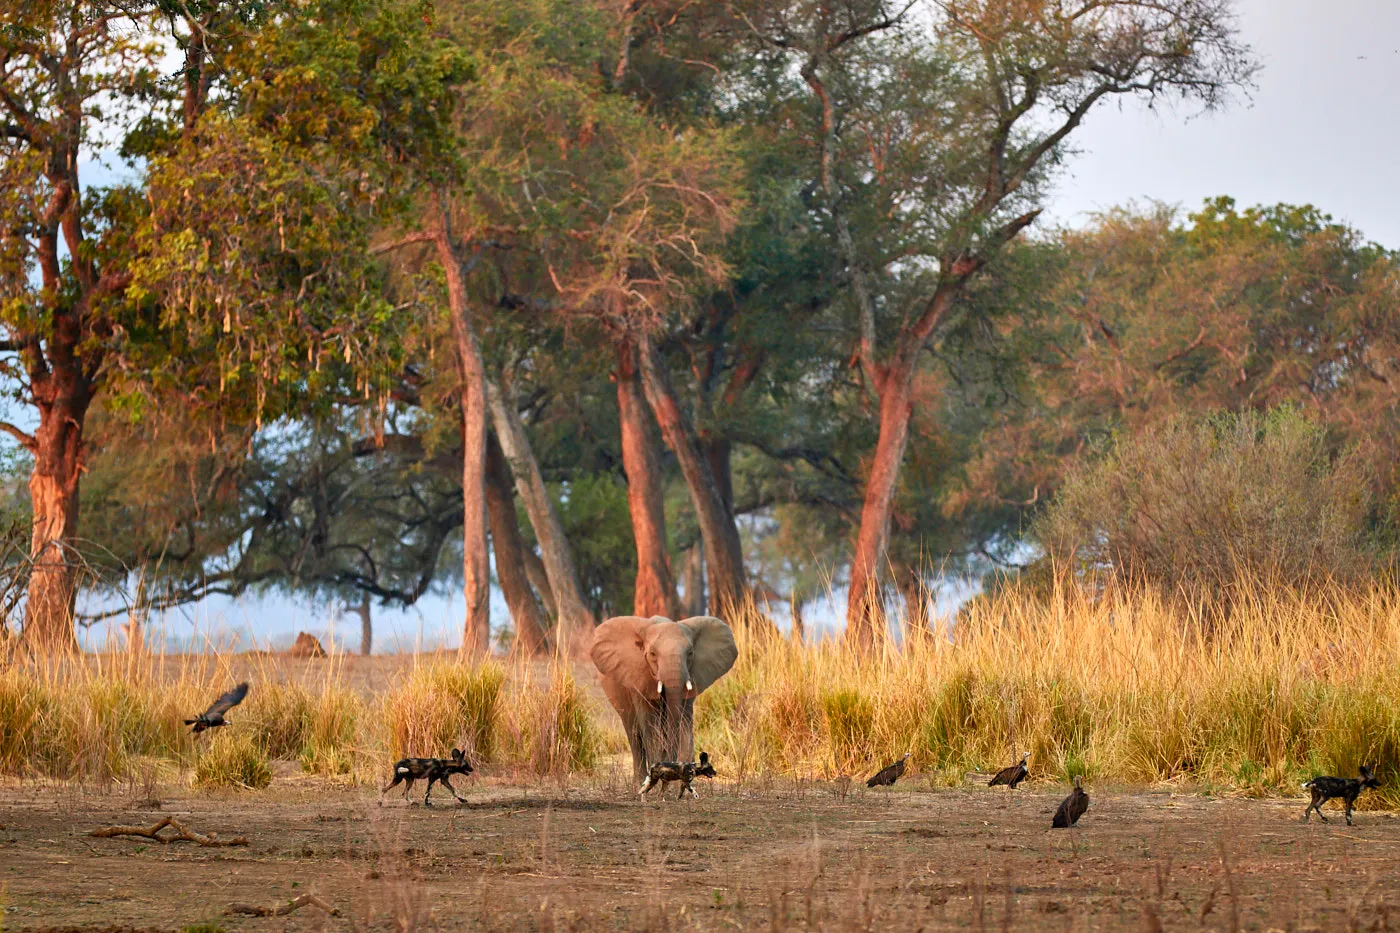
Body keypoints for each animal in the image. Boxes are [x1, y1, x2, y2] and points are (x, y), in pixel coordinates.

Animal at [590, 614, 738, 783]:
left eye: (690, 653)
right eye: (653, 654)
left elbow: (684, 720)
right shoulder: (639, 677)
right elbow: (650, 724)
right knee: (634, 733)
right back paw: (639, 782)